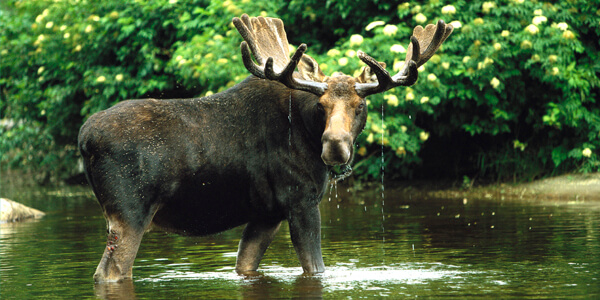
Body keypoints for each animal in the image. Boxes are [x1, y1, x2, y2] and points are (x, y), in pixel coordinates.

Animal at [81, 14, 454, 282]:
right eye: (321, 106)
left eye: (360, 106)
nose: (334, 147)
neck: (306, 131)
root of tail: (84, 138)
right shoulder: (301, 200)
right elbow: (315, 268)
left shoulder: (266, 212)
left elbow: (246, 266)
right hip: (130, 211)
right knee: (110, 272)